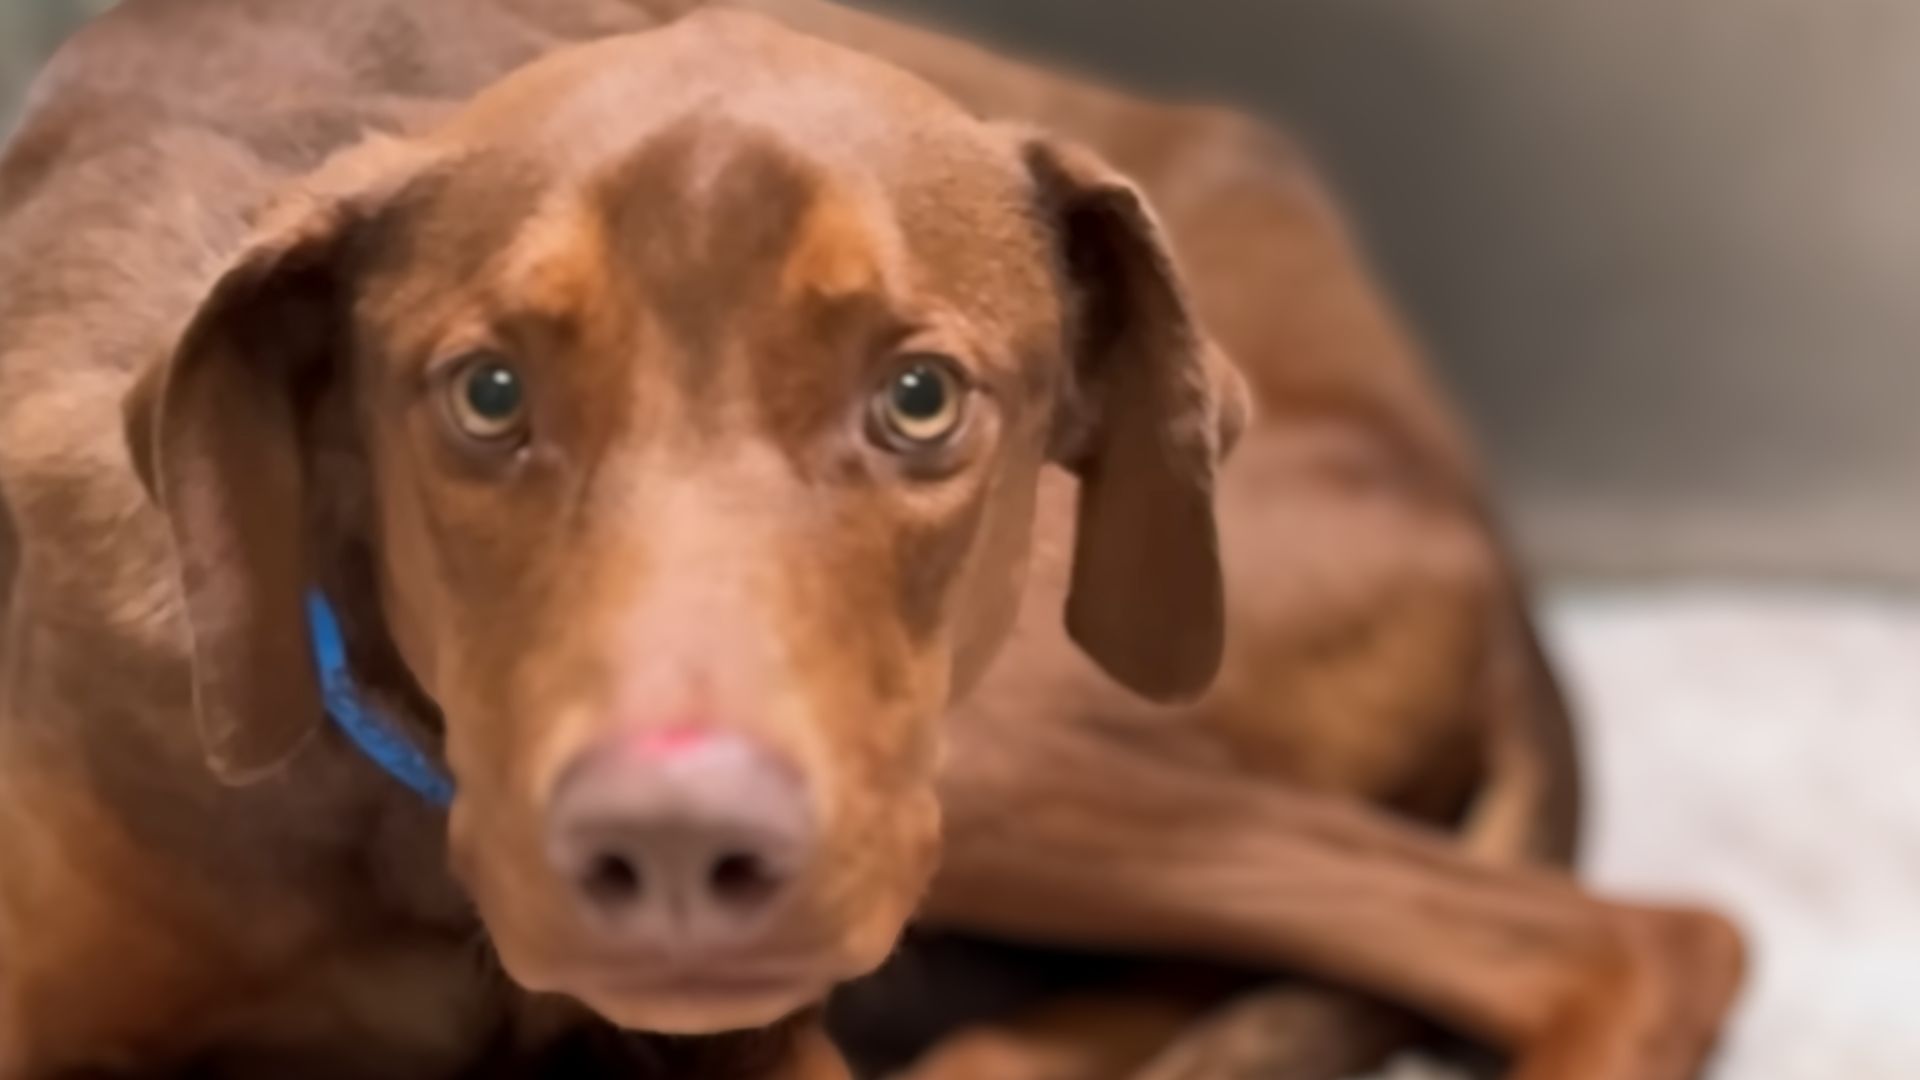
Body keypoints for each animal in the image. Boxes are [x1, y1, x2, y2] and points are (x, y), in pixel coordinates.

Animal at [0, 2, 1743, 1076]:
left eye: (919, 398)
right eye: (488, 393)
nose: (680, 858)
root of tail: (1489, 547)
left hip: (1009, 745)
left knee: (1640, 947)